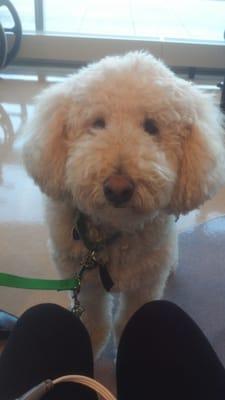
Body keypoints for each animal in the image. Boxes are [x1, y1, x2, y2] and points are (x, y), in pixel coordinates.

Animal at [23, 51, 225, 354]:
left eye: (151, 127)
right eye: (97, 123)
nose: (118, 188)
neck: (110, 235)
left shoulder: (145, 284)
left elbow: (129, 319)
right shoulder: (85, 283)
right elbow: (94, 318)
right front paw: (90, 341)